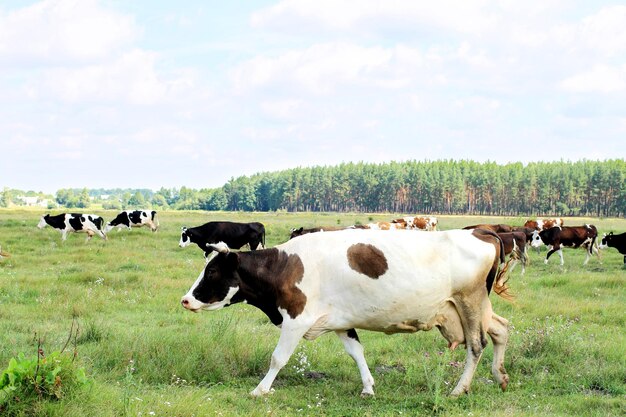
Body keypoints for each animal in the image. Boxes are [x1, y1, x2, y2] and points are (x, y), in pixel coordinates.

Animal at [180, 228, 512, 396]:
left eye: (211, 272)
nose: (185, 300)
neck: (284, 265)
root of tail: (483, 234)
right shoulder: (340, 320)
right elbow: (357, 353)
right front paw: (368, 387)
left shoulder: (296, 318)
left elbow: (278, 358)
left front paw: (260, 390)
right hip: (473, 308)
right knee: (501, 329)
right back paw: (500, 376)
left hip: (469, 302)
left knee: (476, 345)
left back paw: (459, 389)